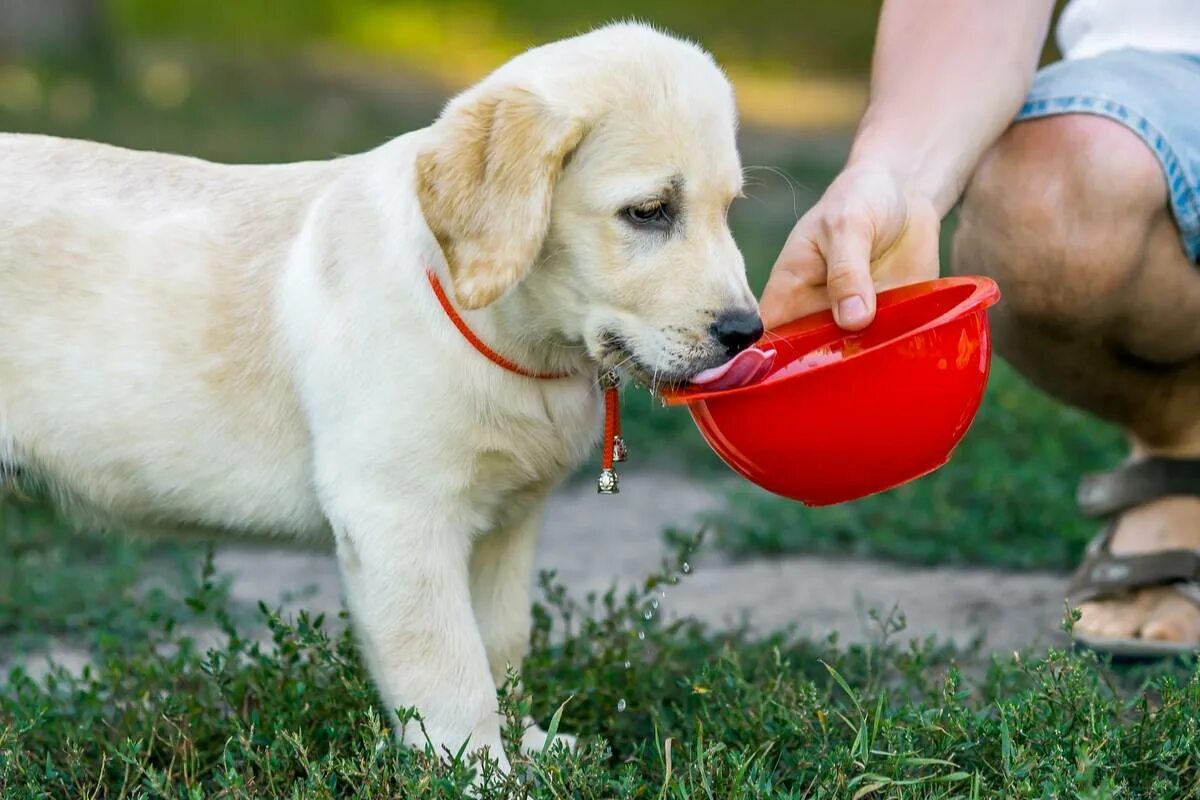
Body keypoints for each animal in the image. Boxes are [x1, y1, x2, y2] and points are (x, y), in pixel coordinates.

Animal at [0, 21, 758, 767]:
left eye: (728, 210)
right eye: (649, 212)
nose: (745, 332)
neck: (506, 333)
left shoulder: (508, 522)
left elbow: (501, 643)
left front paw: (530, 747)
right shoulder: (398, 517)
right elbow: (450, 669)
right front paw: (480, 772)